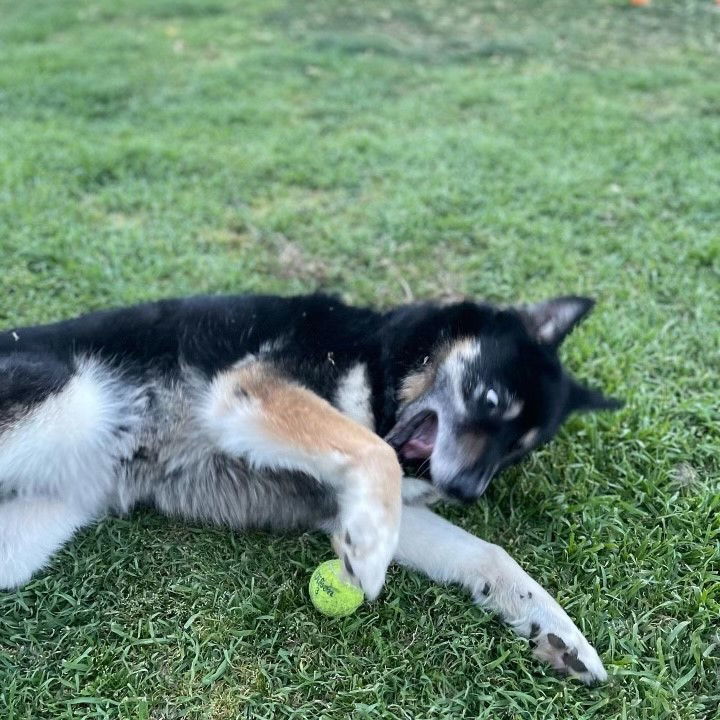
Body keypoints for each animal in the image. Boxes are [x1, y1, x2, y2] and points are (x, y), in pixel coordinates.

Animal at [0, 296, 620, 684]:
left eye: (517, 451)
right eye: (490, 399)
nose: (466, 491)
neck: (381, 356)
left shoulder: (351, 501)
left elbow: (488, 554)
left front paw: (558, 633)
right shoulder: (250, 391)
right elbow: (376, 457)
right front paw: (367, 558)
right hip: (73, 404)